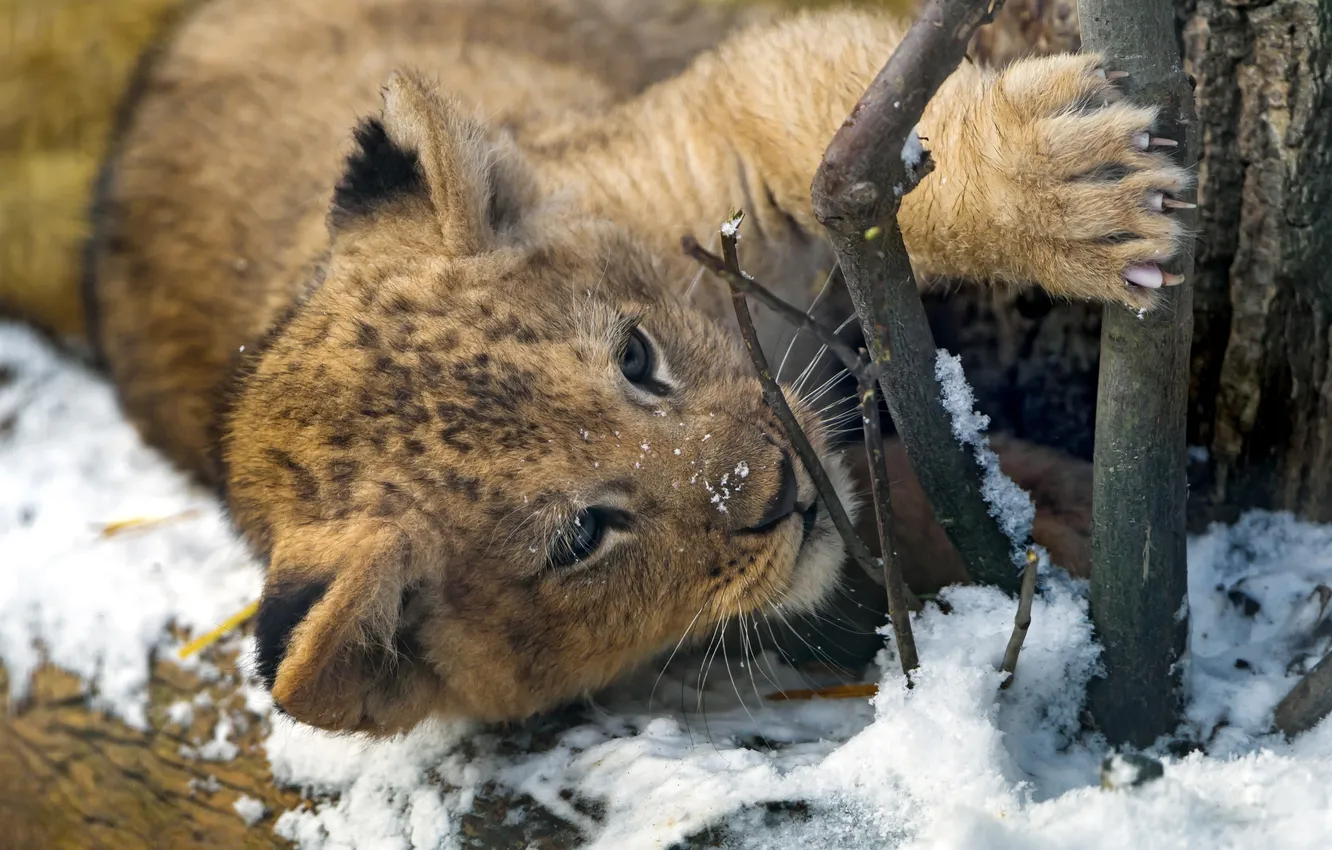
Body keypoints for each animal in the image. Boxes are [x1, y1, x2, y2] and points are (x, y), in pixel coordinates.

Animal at [81, 0, 1190, 735]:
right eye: (581, 536)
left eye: (633, 355)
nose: (781, 492)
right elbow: (888, 507)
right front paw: (1058, 521)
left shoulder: (704, 135)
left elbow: (851, 151)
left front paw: (1074, 193)